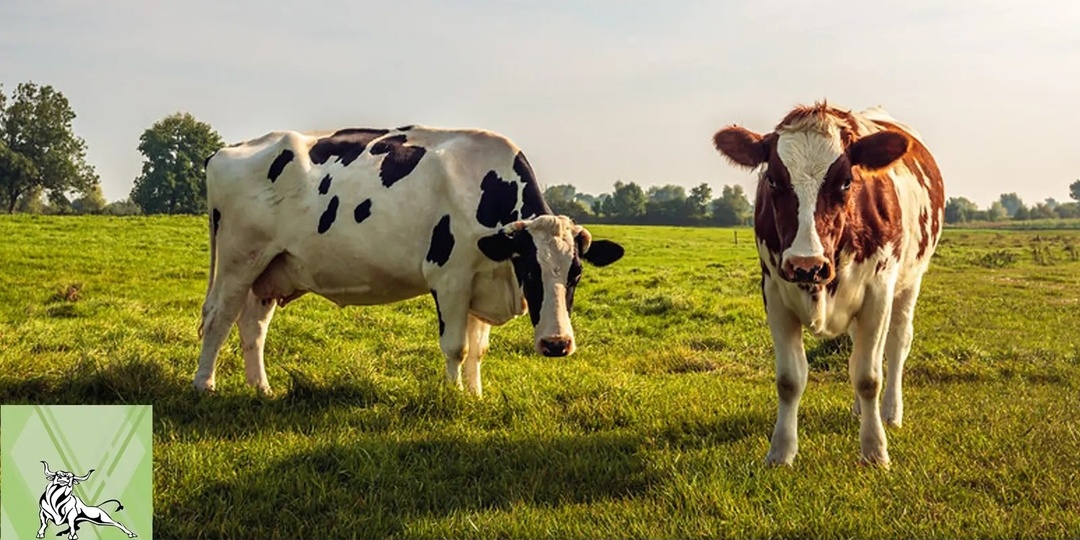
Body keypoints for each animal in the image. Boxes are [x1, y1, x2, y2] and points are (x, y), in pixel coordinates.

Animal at [196, 125, 624, 396]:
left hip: (271, 266)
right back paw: (204, 385)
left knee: (253, 326)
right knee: (219, 318)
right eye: (529, 268)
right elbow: (456, 347)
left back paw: (261, 388)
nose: (557, 344)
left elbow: (478, 349)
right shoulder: (450, 277)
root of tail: (227, 149)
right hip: (239, 258)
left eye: (576, 273)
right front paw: (453, 397)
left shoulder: (482, 279)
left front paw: (475, 396)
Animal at [712, 102, 945, 467]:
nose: (806, 265)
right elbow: (790, 379)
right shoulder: (775, 292)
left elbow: (868, 377)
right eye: (773, 180)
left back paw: (890, 412)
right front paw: (781, 452)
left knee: (897, 343)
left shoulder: (878, 292)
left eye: (846, 182)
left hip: (910, 281)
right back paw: (859, 410)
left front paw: (874, 450)